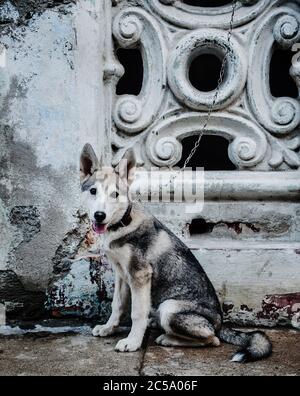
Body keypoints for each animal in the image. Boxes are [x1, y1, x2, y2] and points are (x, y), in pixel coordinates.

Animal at [79, 144, 272, 364]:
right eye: (93, 191)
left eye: (115, 194)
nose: (99, 216)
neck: (122, 224)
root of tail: (220, 324)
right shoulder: (122, 274)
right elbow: (117, 305)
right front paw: (108, 328)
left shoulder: (140, 275)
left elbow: (137, 313)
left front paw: (132, 342)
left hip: (169, 308)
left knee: (212, 339)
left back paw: (168, 338)